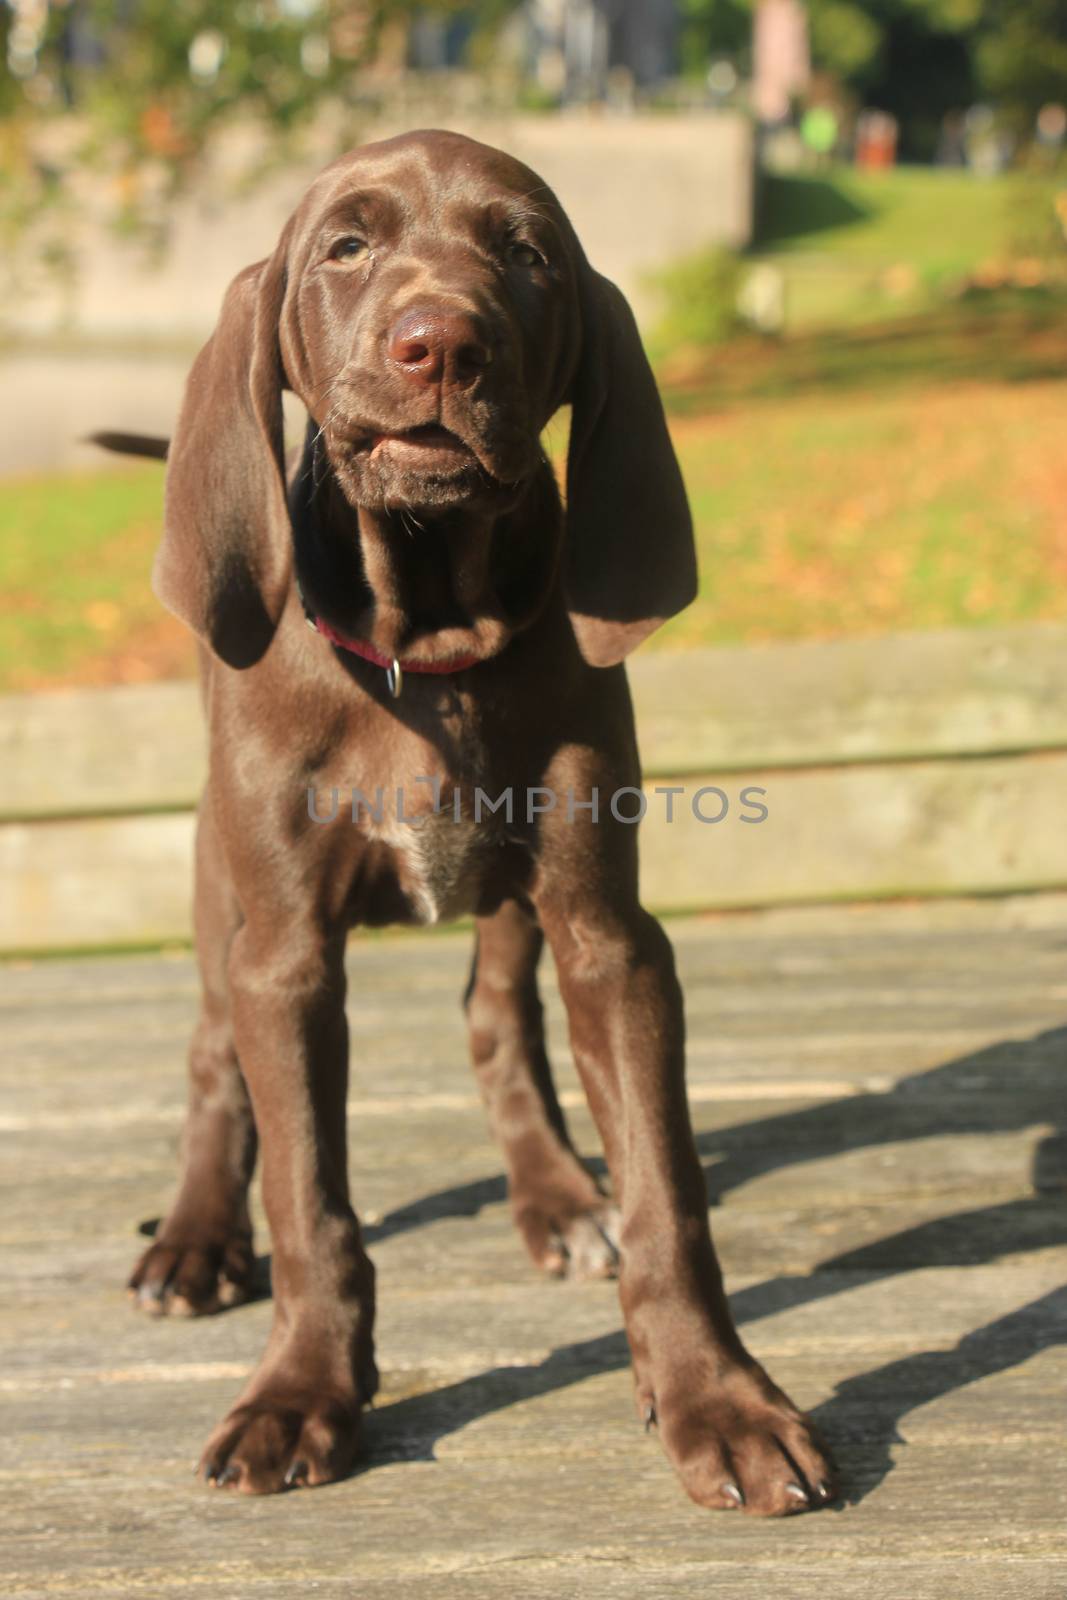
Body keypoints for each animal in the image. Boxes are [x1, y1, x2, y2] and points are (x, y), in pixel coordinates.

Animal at [125, 128, 838, 1510]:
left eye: (526, 254)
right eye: (346, 246)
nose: (438, 346)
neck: (430, 649)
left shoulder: (610, 939)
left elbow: (667, 1196)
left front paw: (713, 1395)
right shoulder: (286, 959)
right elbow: (308, 1198)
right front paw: (301, 1389)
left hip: (519, 903)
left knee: (496, 1018)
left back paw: (558, 1195)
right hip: (218, 892)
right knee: (209, 1055)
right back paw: (194, 1236)